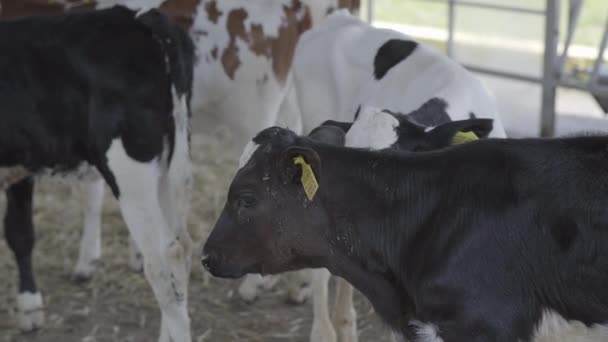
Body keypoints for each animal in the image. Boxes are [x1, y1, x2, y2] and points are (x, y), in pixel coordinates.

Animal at [0, 6, 194, 340]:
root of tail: (140, 17)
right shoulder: (19, 163)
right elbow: (19, 230)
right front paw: (29, 307)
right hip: (169, 169)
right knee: (178, 247)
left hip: (130, 169)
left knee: (164, 260)